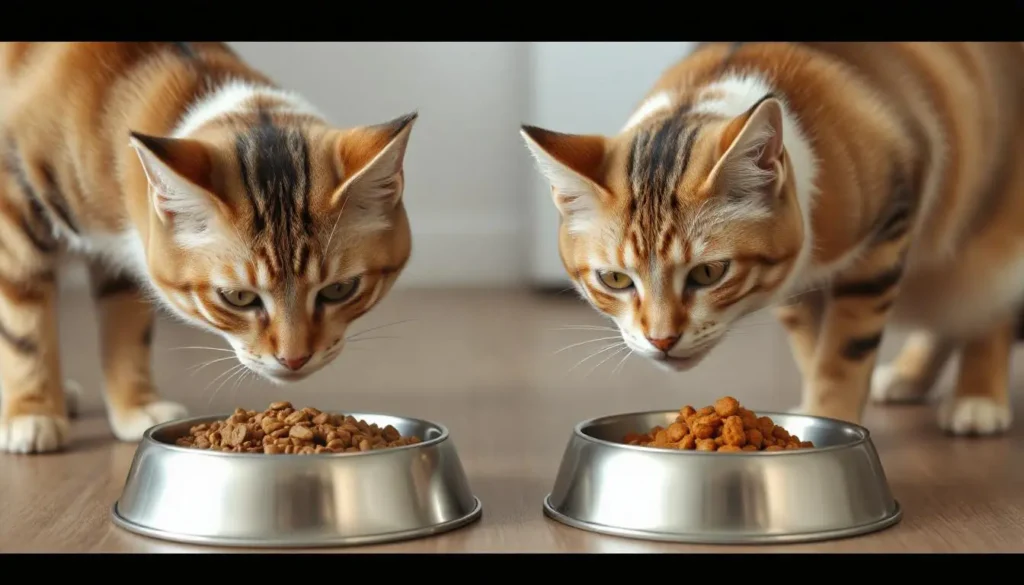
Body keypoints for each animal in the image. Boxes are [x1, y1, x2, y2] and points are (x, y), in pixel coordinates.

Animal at [1, 43, 415, 454]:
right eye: (238, 297)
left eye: (339, 290)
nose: (294, 359)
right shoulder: (15, 209)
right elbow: (25, 326)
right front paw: (31, 414)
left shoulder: (129, 257)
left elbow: (125, 329)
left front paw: (136, 406)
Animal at [520, 42, 1024, 434]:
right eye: (615, 280)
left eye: (709, 272)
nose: (661, 340)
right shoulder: (794, 282)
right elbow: (811, 348)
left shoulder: (886, 233)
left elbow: (843, 352)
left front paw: (832, 416)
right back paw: (911, 377)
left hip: (994, 230)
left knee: (983, 302)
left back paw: (978, 398)